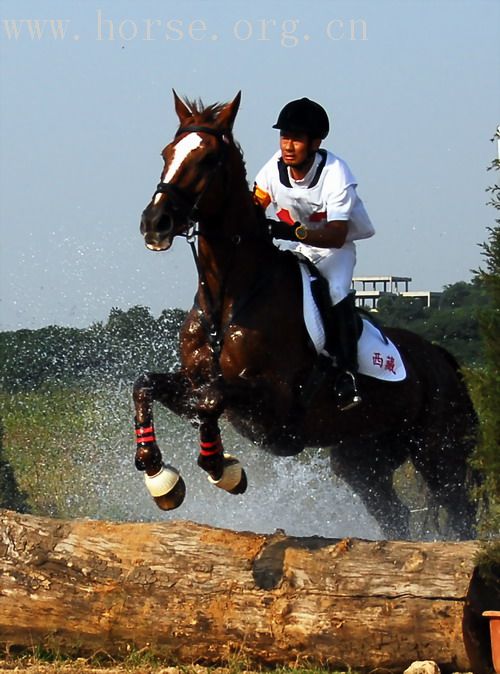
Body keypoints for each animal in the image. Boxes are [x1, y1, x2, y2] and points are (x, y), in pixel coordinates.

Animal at [135, 92, 478, 540]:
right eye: (167, 153)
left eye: (208, 159)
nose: (154, 223)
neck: (228, 298)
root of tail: (441, 359)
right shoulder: (193, 383)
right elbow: (146, 385)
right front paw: (160, 478)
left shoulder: (277, 406)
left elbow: (213, 397)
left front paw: (224, 470)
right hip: (363, 463)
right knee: (396, 517)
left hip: (439, 453)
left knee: (460, 513)